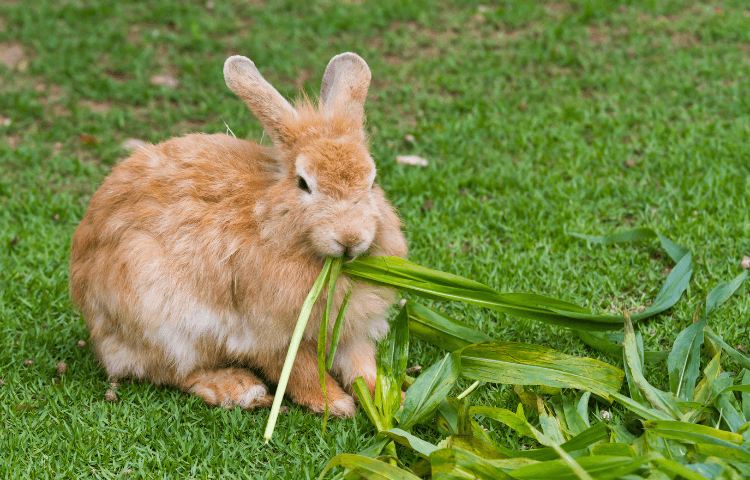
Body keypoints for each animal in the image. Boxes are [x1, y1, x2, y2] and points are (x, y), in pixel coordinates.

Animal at [68, 53, 407, 417]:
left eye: (372, 181)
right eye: (303, 183)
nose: (350, 238)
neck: (272, 226)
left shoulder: (351, 331)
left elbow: (363, 366)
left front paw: (392, 401)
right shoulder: (267, 334)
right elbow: (297, 370)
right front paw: (335, 404)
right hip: (158, 319)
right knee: (169, 371)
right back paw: (239, 389)